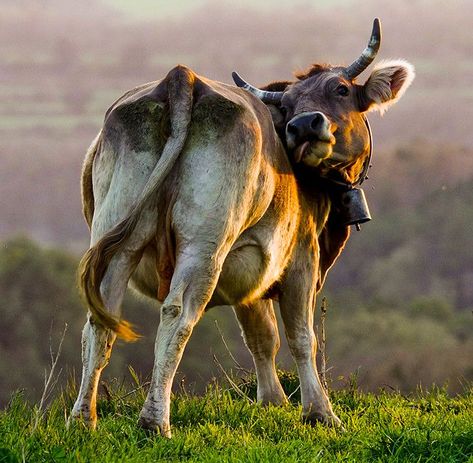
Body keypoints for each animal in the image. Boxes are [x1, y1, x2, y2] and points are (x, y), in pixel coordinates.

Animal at [70, 19, 412, 438]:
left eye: (342, 90)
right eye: (288, 106)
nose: (303, 125)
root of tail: (181, 78)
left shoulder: (250, 271)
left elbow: (261, 336)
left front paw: (273, 401)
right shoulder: (302, 258)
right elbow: (301, 337)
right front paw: (320, 412)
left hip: (118, 240)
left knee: (99, 319)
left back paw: (83, 419)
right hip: (205, 244)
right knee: (177, 315)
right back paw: (155, 421)